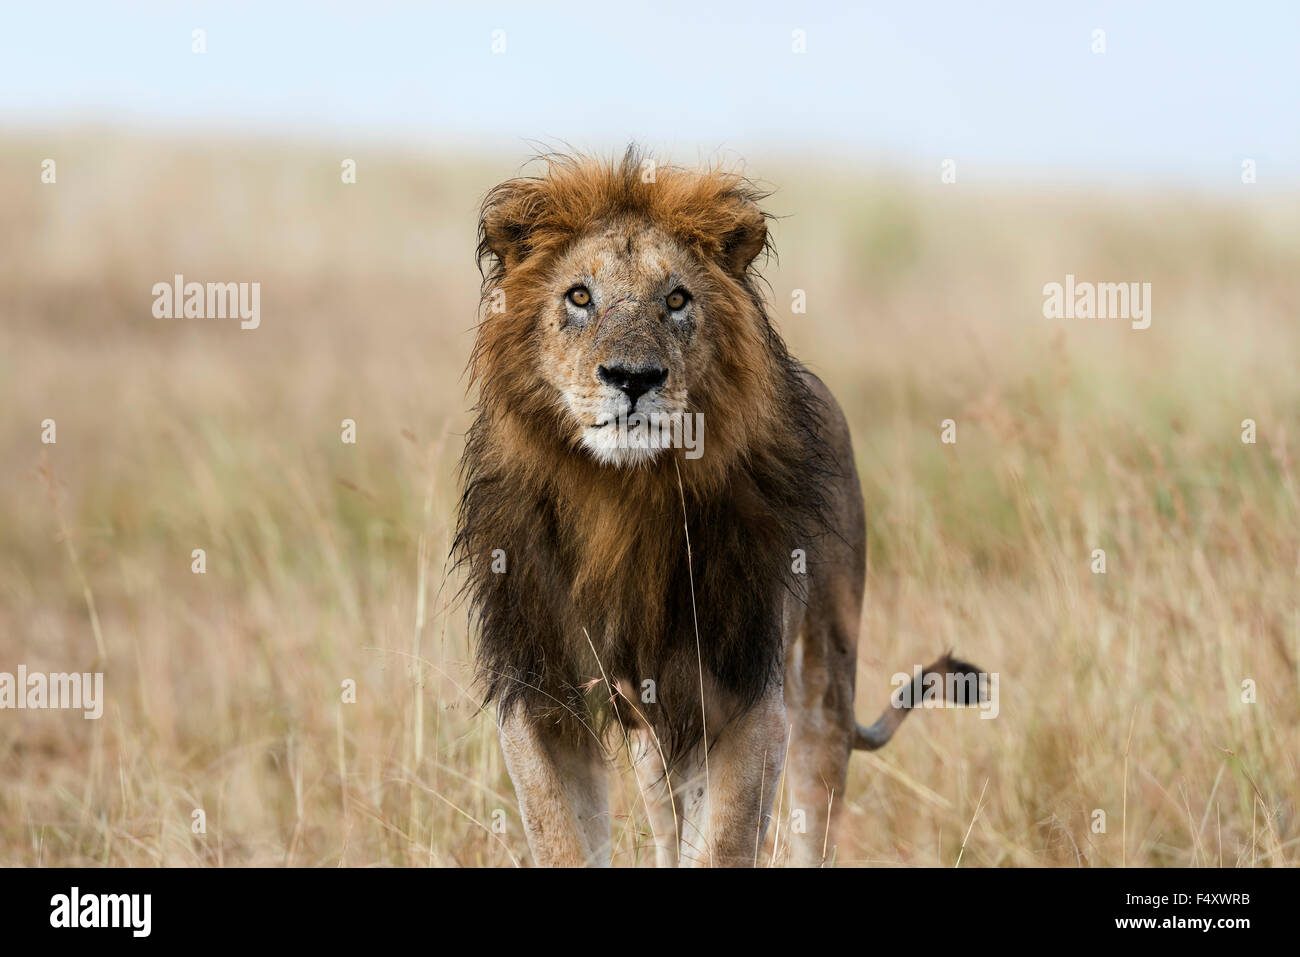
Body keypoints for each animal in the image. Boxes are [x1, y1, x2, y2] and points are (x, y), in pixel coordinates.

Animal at [454, 151, 977, 868]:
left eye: (677, 299)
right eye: (579, 296)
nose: (633, 377)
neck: (621, 501)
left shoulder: (747, 698)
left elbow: (723, 844)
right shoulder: (539, 696)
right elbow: (563, 839)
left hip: (824, 681)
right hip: (652, 733)